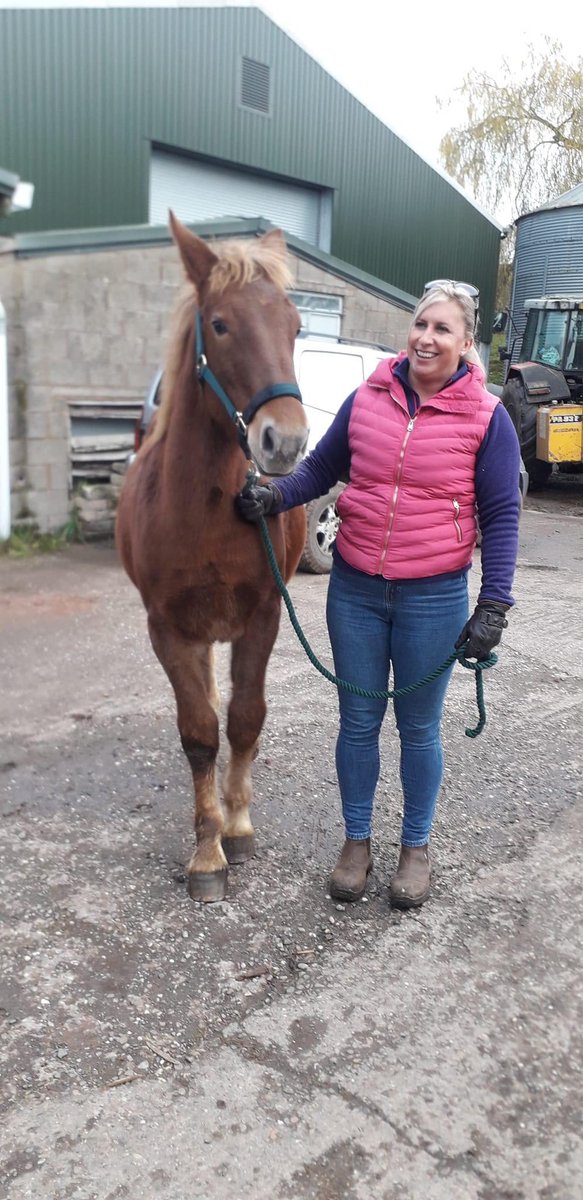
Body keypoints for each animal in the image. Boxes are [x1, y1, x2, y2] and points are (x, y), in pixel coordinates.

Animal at [116, 213, 309, 903]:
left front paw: (239, 827)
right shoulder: (170, 630)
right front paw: (207, 853)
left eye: (295, 327)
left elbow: (246, 719)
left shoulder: (264, 617)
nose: (285, 440)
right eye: (220, 325)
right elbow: (199, 733)